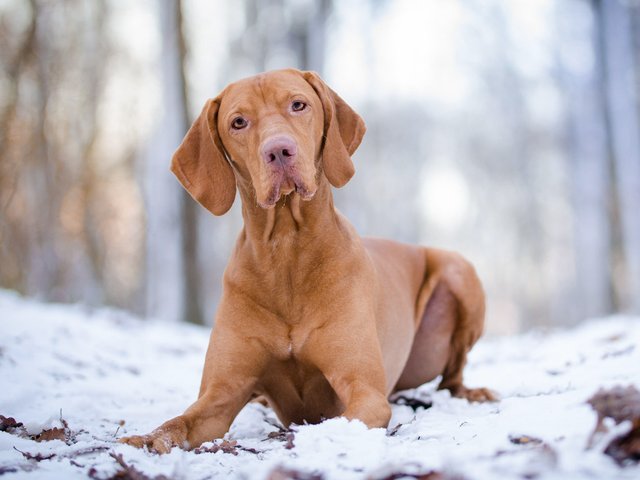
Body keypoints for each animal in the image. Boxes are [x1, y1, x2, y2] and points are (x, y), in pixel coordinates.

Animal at [119, 68, 496, 454]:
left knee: (452, 377)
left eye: (298, 105)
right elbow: (178, 422)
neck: (286, 250)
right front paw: (145, 440)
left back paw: (474, 393)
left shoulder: (364, 390)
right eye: (238, 122)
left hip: (458, 271)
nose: (278, 150)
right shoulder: (220, 393)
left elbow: (343, 418)